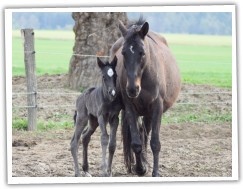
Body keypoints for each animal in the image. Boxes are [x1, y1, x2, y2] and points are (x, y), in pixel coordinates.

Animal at [110, 18, 180, 176]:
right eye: (123, 52)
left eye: (142, 52)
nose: (132, 89)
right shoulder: (130, 108)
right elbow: (136, 143)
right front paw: (140, 168)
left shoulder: (157, 108)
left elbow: (155, 143)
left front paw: (155, 172)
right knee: (142, 134)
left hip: (149, 113)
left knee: (146, 134)